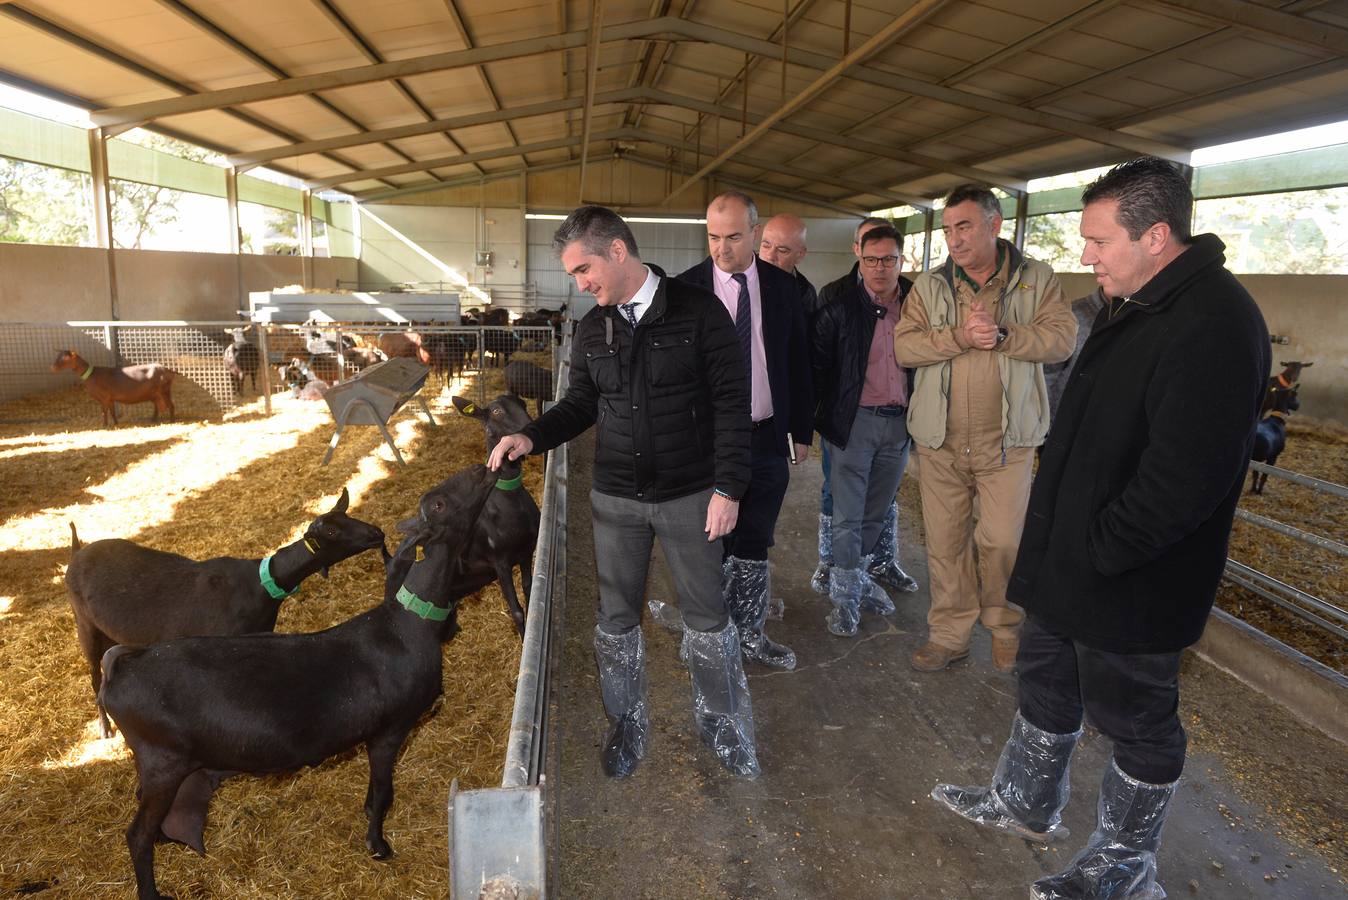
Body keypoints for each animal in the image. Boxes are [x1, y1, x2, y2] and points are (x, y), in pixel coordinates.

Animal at [96, 463, 496, 900]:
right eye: (438, 504)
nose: (483, 469)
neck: (408, 624)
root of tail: (124, 664)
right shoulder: (390, 729)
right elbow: (384, 794)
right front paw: (378, 845)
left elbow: (374, 795)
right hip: (163, 762)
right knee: (136, 835)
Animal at [385, 393, 536, 633]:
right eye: (496, 411)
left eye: (522, 402)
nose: (529, 428)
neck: (510, 505)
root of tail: (390, 561)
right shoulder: (500, 561)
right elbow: (517, 611)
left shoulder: (527, 549)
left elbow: (530, 593)